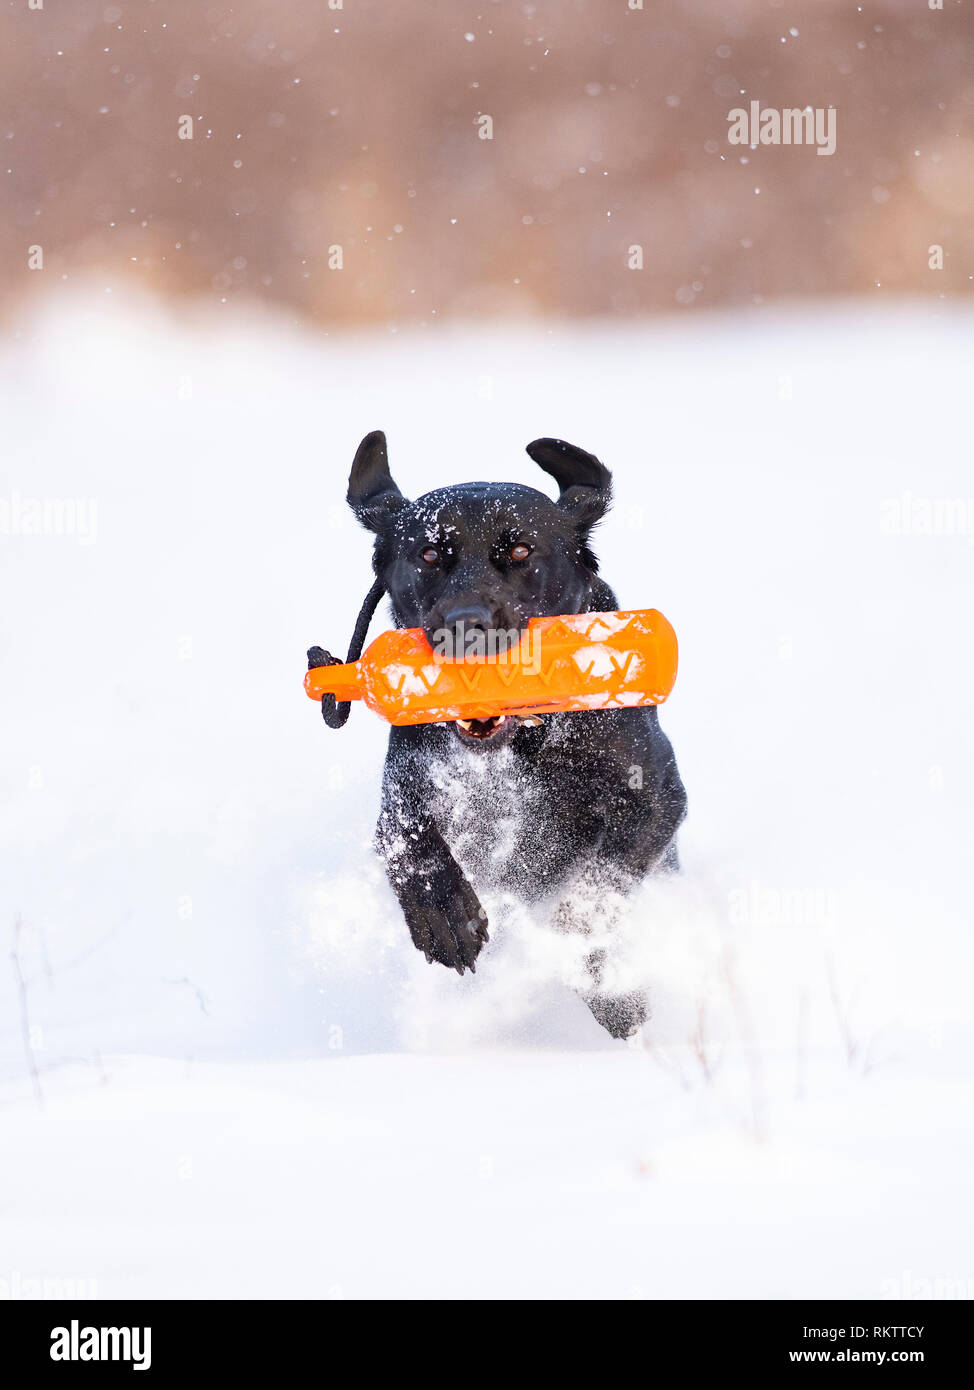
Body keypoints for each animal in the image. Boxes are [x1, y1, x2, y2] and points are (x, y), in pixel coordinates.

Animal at [319, 428, 683, 1039]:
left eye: (520, 552)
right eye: (429, 555)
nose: (466, 624)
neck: (524, 741)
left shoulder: (655, 796)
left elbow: (597, 886)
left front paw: (581, 960)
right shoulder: (404, 789)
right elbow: (406, 839)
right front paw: (446, 918)